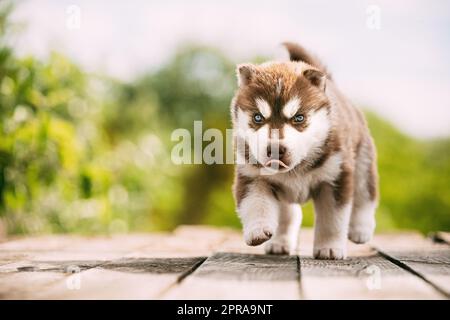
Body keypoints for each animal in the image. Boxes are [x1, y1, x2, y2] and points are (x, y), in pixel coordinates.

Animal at [230, 42, 378, 258]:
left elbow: (333, 220)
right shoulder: (253, 176)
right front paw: (257, 230)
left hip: (362, 161)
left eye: (298, 118)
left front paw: (329, 248)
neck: (295, 168)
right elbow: (256, 204)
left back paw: (361, 229)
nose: (275, 149)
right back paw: (280, 243)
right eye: (258, 117)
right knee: (289, 215)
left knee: (365, 196)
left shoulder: (335, 178)